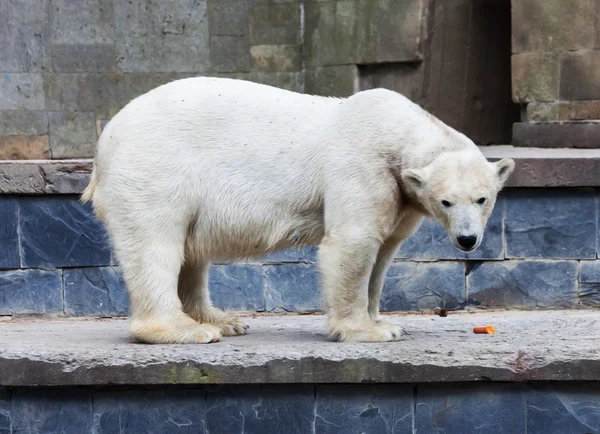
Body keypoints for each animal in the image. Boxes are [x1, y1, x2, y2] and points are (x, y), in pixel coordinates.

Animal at [82, 76, 516, 344]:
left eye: (483, 198)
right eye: (446, 201)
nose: (467, 239)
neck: (396, 132)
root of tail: (105, 141)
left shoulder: (401, 193)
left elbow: (384, 251)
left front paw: (381, 319)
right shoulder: (361, 165)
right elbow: (352, 243)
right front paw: (366, 331)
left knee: (192, 249)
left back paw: (222, 319)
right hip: (155, 170)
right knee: (156, 244)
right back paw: (186, 329)